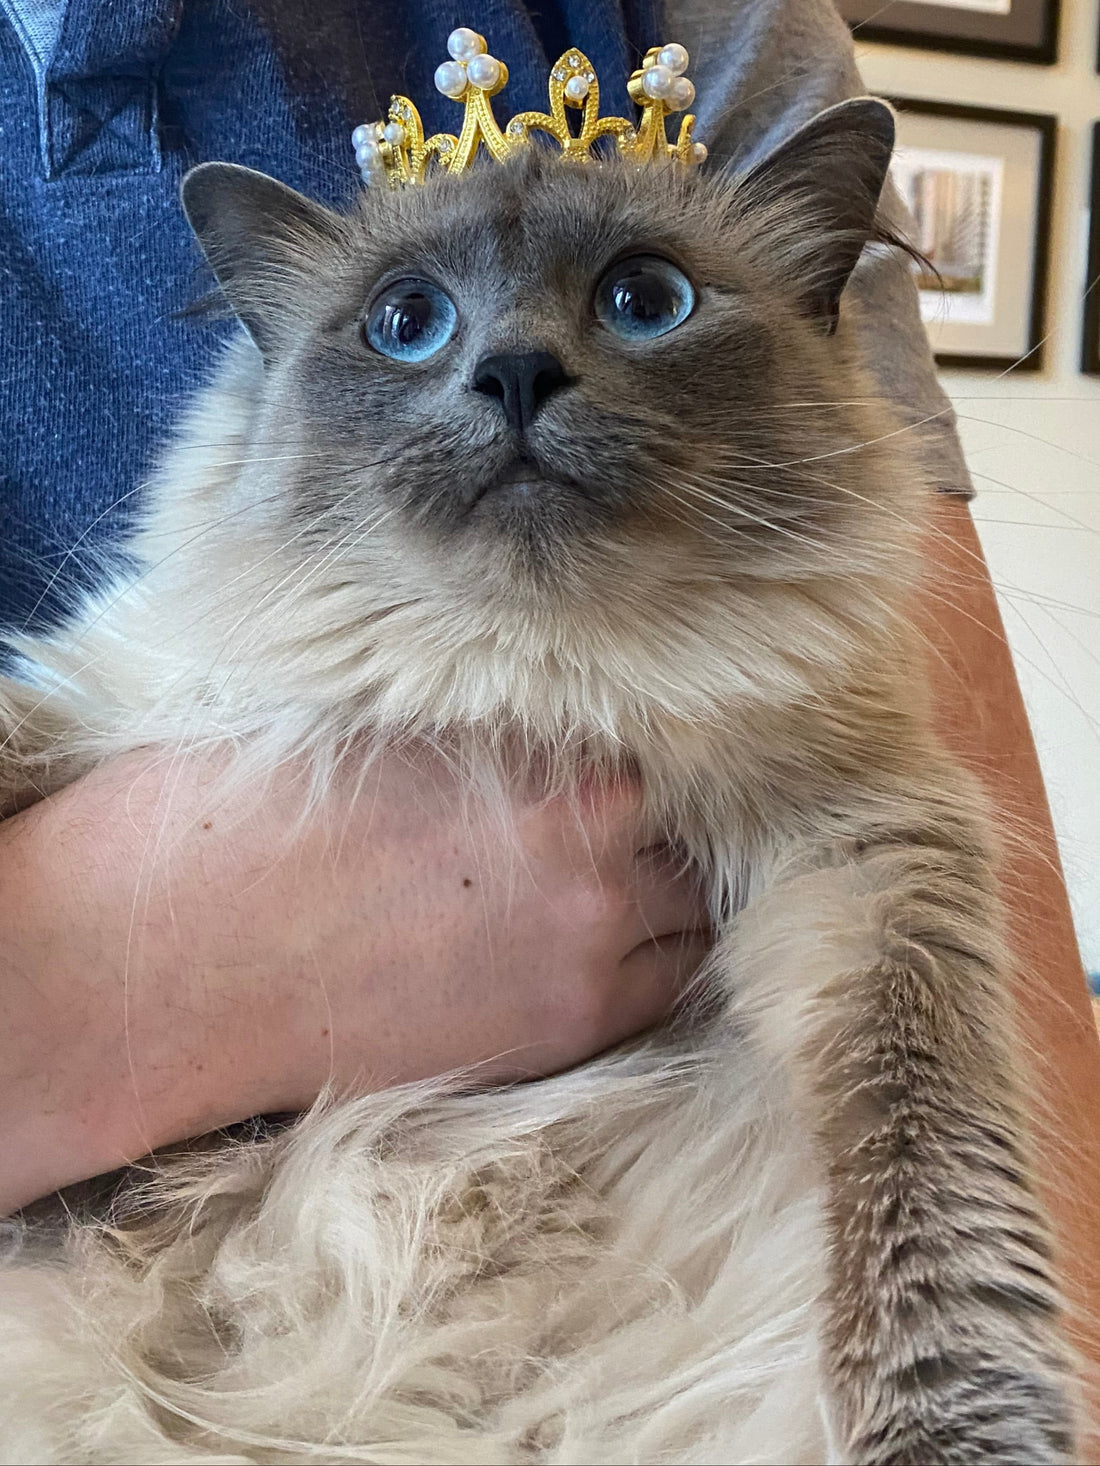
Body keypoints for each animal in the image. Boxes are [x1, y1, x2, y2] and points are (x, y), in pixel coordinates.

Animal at [0, 97, 1079, 1460]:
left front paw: (952, 1437)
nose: (514, 373)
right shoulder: (124, 698)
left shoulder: (868, 868)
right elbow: (26, 735)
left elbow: (931, 1196)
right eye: (406, 320)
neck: (528, 686)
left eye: (644, 300)